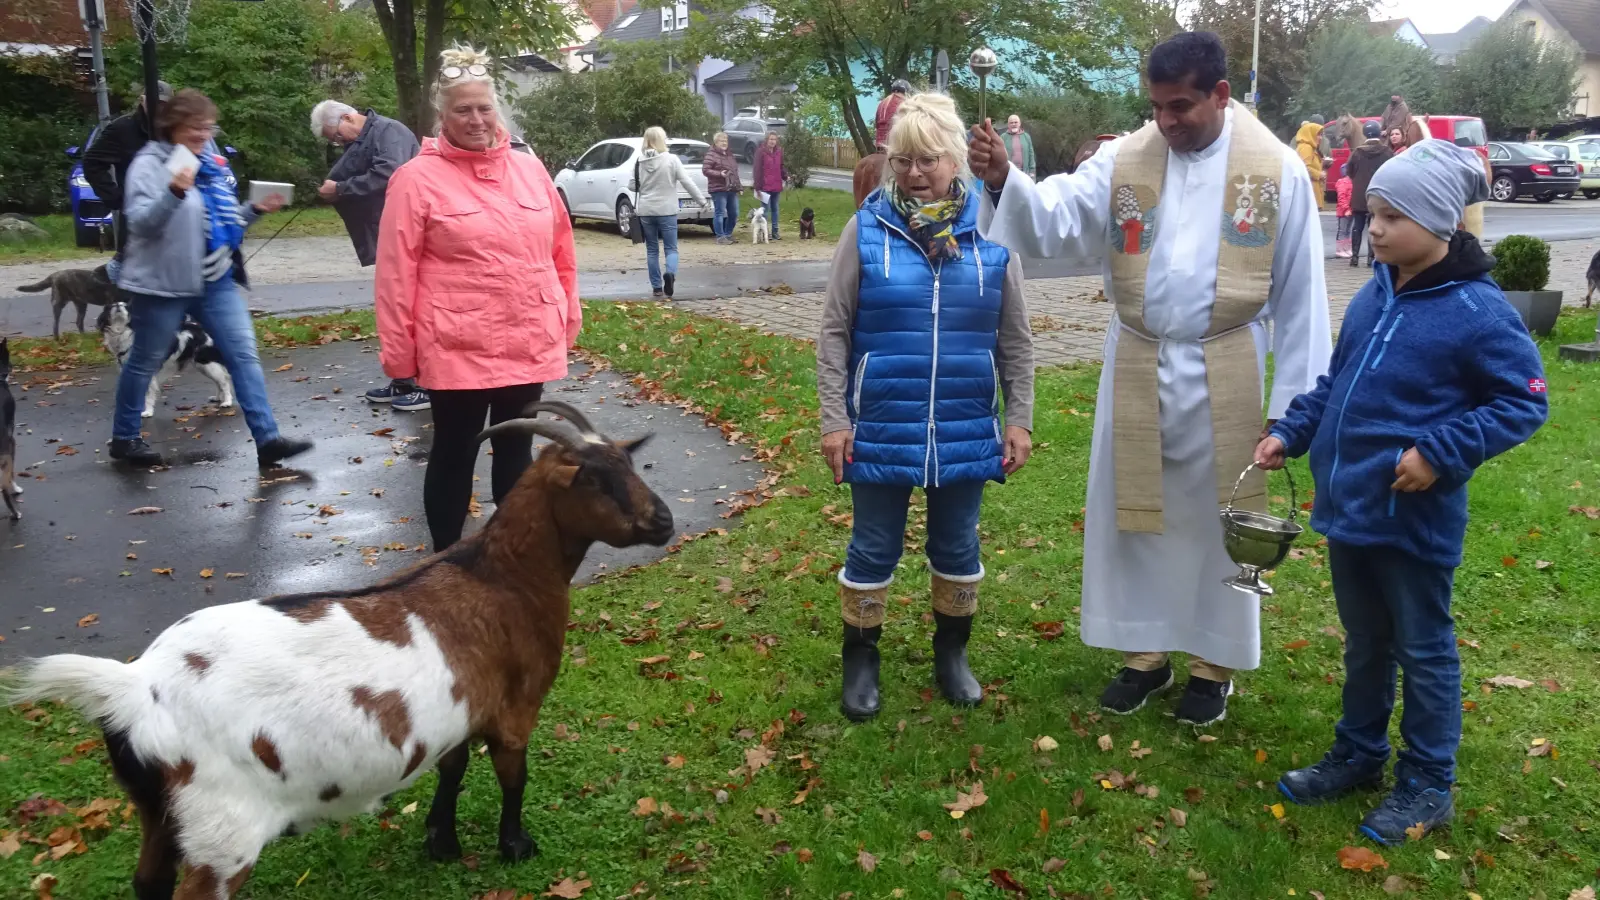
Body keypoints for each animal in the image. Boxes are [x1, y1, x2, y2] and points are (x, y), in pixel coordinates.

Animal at [7, 400, 668, 896]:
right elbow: (513, 778)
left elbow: (451, 769)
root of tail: (133, 686)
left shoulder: (457, 711)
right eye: (595, 477)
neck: (502, 578)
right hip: (221, 830)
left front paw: (441, 842)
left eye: (629, 463)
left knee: (147, 881)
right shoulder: (514, 710)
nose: (663, 522)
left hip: (157, 812)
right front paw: (516, 847)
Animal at [97, 299, 233, 416]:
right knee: (218, 381)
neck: (123, 332)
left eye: (126, 307)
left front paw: (147, 412)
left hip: (206, 362)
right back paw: (217, 398)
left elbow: (148, 394)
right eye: (111, 306)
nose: (118, 305)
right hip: (203, 365)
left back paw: (227, 402)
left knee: (224, 381)